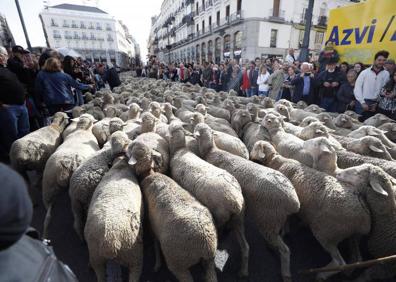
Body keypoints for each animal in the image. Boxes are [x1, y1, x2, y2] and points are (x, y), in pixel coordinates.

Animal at [127, 141, 217, 282]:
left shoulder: (151, 224)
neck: (149, 174)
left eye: (131, 151)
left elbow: (155, 242)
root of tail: (205, 243)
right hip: (210, 261)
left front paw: (157, 264)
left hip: (178, 262)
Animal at [193, 123, 298, 282]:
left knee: (285, 250)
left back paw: (285, 273)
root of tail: (294, 201)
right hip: (277, 218)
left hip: (268, 219)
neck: (212, 151)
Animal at [251, 142, 372, 280]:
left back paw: (321, 275)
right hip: (352, 235)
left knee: (339, 262)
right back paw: (349, 271)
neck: (276, 162)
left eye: (254, 148)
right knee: (357, 258)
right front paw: (285, 230)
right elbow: (288, 219)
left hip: (326, 232)